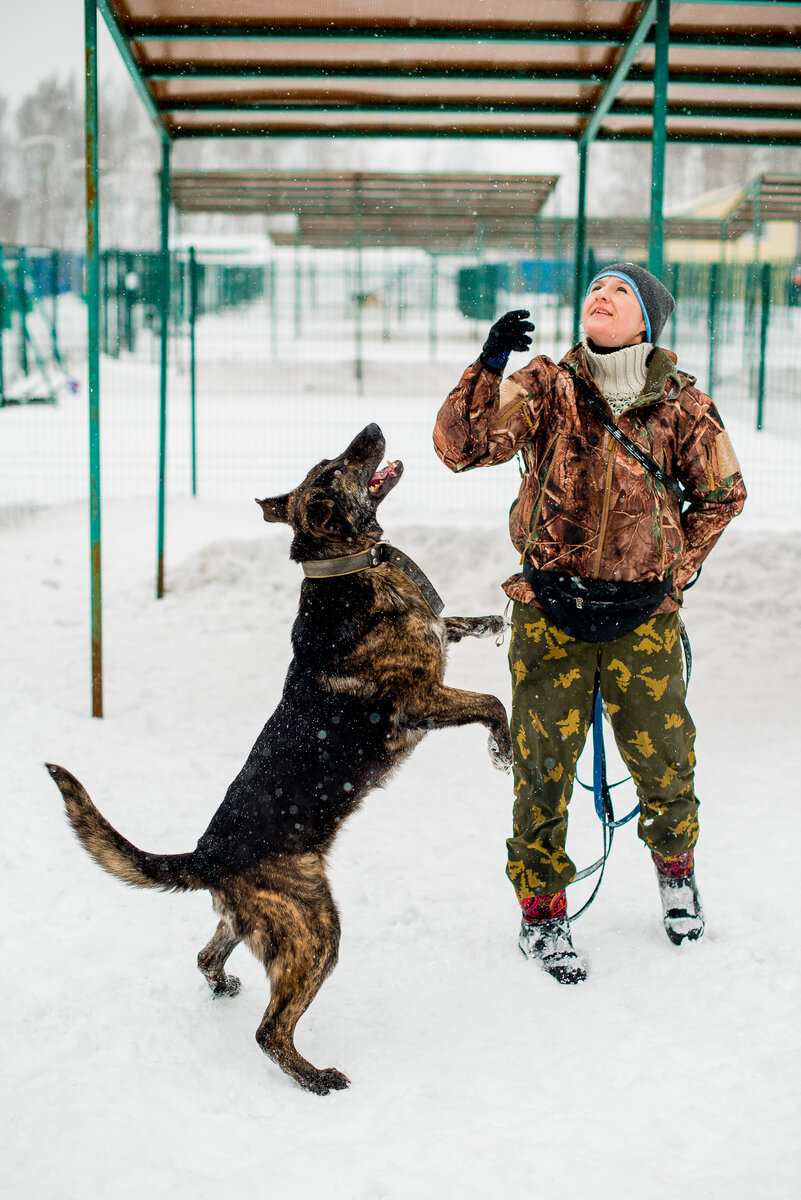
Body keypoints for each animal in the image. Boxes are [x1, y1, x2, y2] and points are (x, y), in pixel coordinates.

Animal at [48, 422, 513, 1099]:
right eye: (336, 468)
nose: (371, 429)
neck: (347, 568)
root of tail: (205, 856)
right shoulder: (421, 702)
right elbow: (492, 702)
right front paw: (503, 749)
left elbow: (452, 622)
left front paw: (492, 621)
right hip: (314, 929)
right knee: (270, 1030)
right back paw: (314, 1078)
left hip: (256, 923)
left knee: (206, 956)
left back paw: (223, 987)